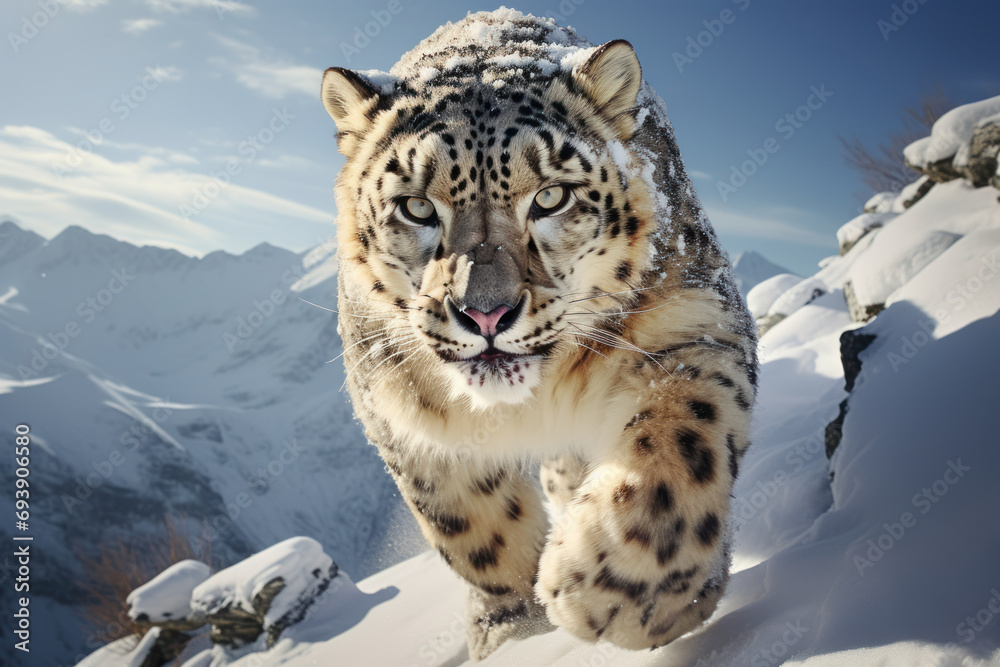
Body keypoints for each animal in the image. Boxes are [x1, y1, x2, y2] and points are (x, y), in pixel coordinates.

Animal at [320, 9, 757, 661]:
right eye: (416, 206)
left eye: (551, 196)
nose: (485, 313)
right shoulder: (400, 412)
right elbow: (472, 529)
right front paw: (516, 629)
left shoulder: (693, 324)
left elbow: (681, 441)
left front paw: (612, 592)